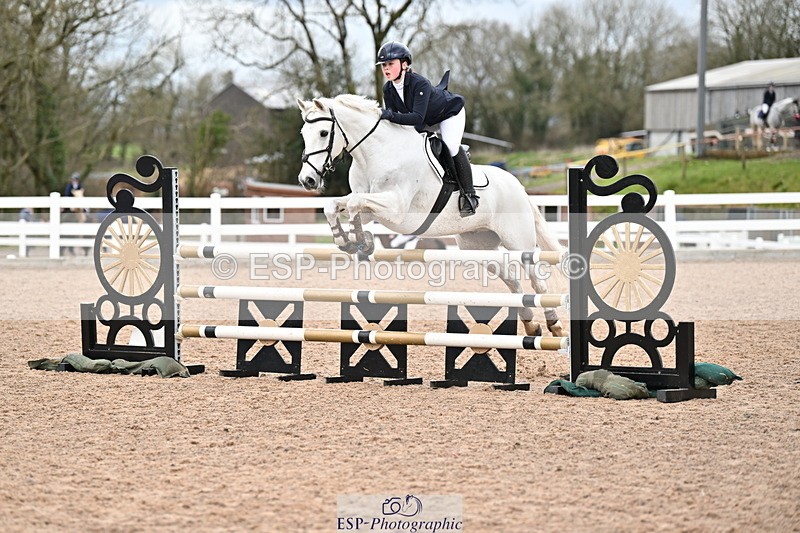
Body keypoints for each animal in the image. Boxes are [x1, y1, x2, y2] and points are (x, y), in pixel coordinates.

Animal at [296, 94, 564, 337]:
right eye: (303, 133)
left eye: (323, 133)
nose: (307, 180)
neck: (377, 153)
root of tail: (519, 187)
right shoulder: (371, 207)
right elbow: (335, 205)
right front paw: (348, 241)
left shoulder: (395, 208)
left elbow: (353, 204)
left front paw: (359, 241)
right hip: (479, 245)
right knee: (513, 280)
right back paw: (531, 324)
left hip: (518, 241)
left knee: (537, 280)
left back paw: (554, 324)